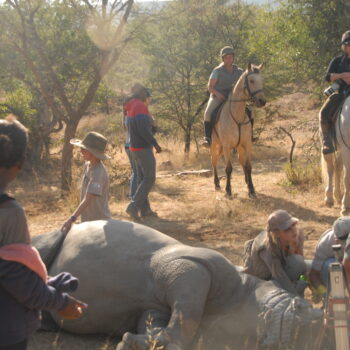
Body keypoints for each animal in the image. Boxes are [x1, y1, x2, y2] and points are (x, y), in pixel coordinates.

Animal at [32, 220, 322, 348]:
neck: (243, 293)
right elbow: (188, 312)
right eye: (302, 306)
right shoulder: (188, 265)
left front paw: (140, 341)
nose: (307, 326)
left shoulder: (150, 309)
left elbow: (166, 321)